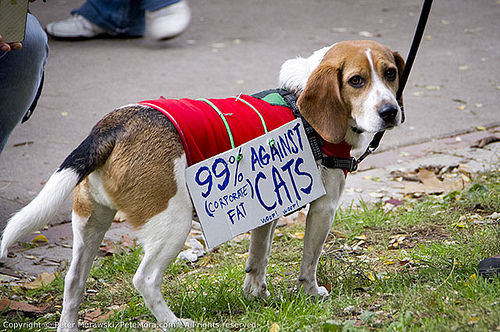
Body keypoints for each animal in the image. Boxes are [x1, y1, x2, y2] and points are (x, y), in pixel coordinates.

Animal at [0, 39, 404, 330]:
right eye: (356, 81)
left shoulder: (267, 210)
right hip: (172, 225)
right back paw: (174, 322)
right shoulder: (324, 208)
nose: (390, 112)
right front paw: (311, 293)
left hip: (90, 223)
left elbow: (258, 258)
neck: (300, 102)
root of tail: (114, 125)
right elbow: (309, 261)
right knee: (145, 280)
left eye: (390, 74)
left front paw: (256, 294)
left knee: (73, 283)